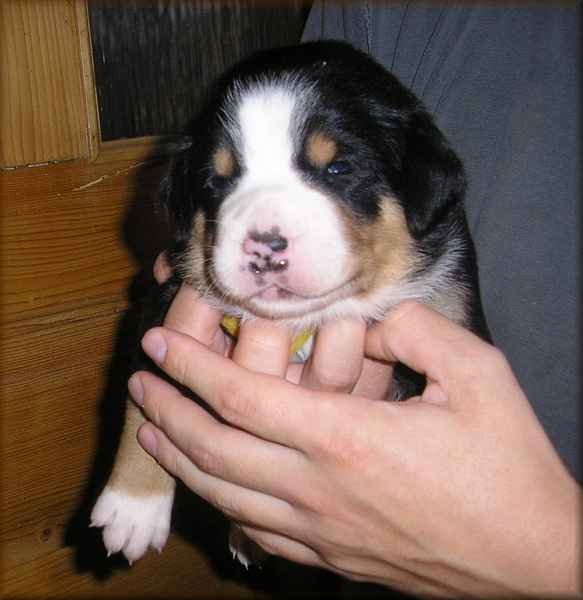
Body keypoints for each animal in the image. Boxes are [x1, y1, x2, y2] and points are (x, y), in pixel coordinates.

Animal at [90, 41, 490, 567]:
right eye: (217, 181)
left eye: (338, 168)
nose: (265, 246)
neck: (308, 323)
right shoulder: (166, 307)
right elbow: (145, 398)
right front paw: (132, 508)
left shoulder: (448, 308)